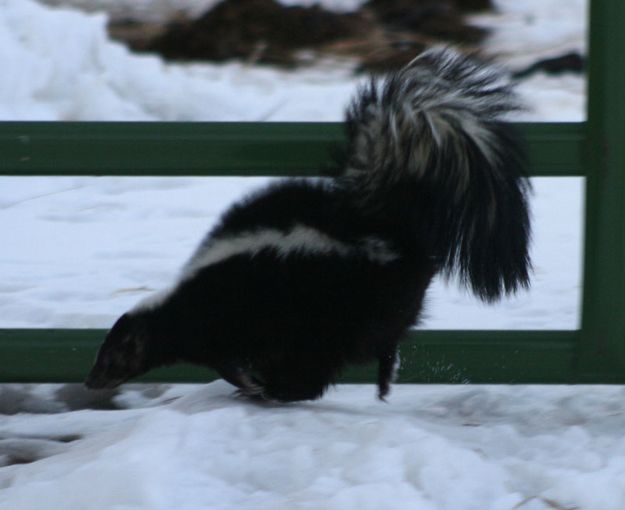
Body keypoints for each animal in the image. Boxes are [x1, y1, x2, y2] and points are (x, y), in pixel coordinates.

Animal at [85, 49, 528, 404]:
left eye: (113, 356)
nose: (91, 382)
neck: (180, 302)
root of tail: (387, 228)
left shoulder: (228, 320)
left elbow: (230, 363)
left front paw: (249, 384)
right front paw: (251, 383)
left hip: (339, 309)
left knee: (343, 351)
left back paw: (297, 389)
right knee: (384, 336)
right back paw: (371, 378)